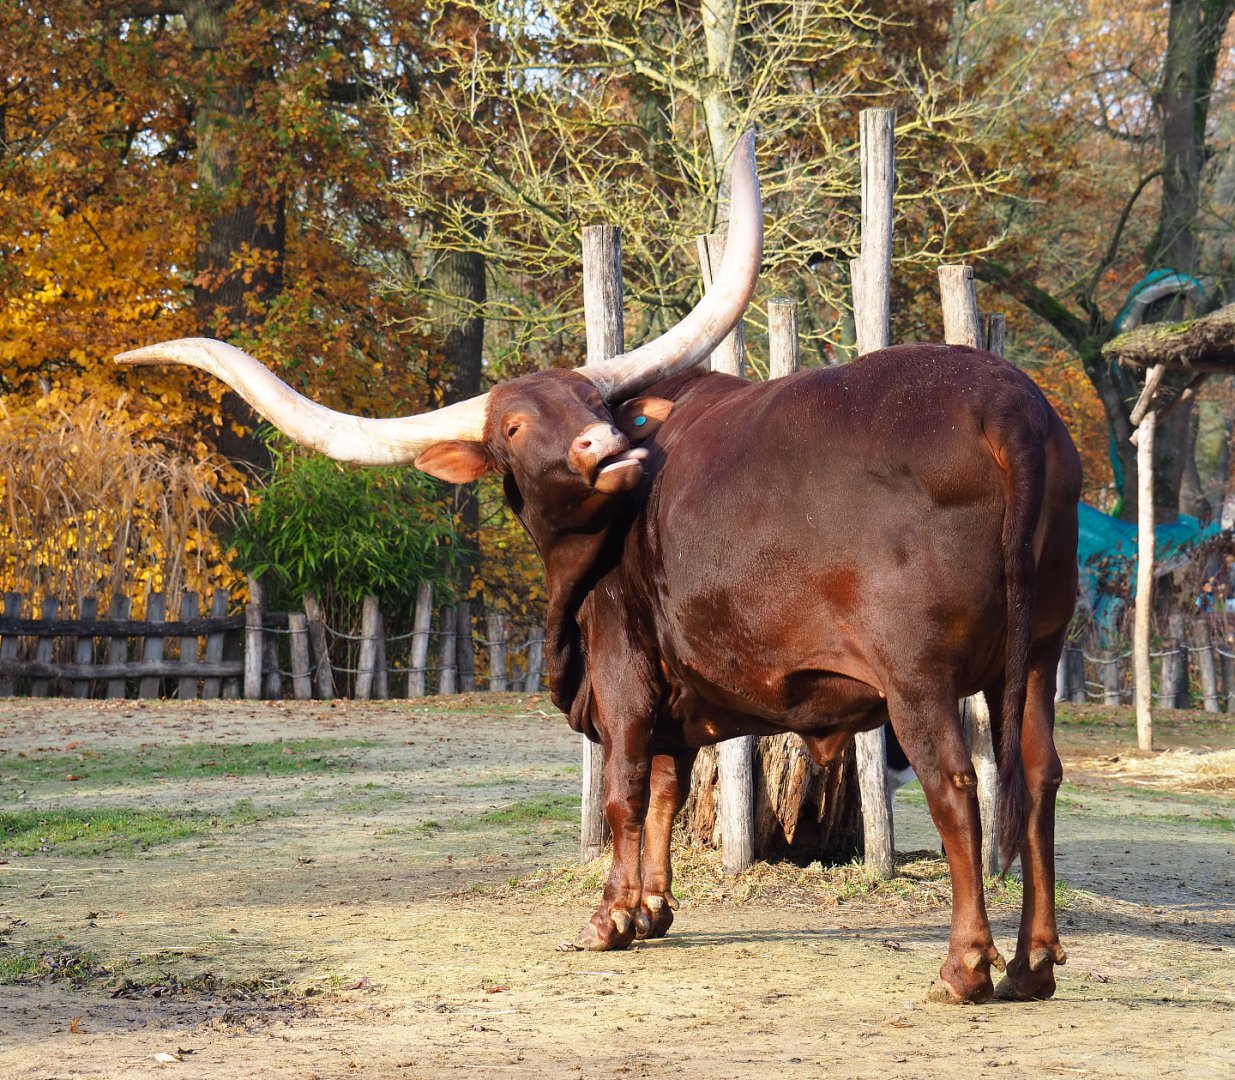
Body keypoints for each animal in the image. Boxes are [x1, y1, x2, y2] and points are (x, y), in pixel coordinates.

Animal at [117, 133, 1080, 1005]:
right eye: (512, 425)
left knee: (956, 784)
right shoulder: (673, 696)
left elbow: (620, 788)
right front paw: (651, 909)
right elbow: (661, 789)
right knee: (1036, 778)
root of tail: (1008, 405)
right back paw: (1033, 964)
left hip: (918, 675)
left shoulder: (619, 663)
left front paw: (607, 919)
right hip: (1036, 657)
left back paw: (965, 968)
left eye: (589, 400)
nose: (603, 445)